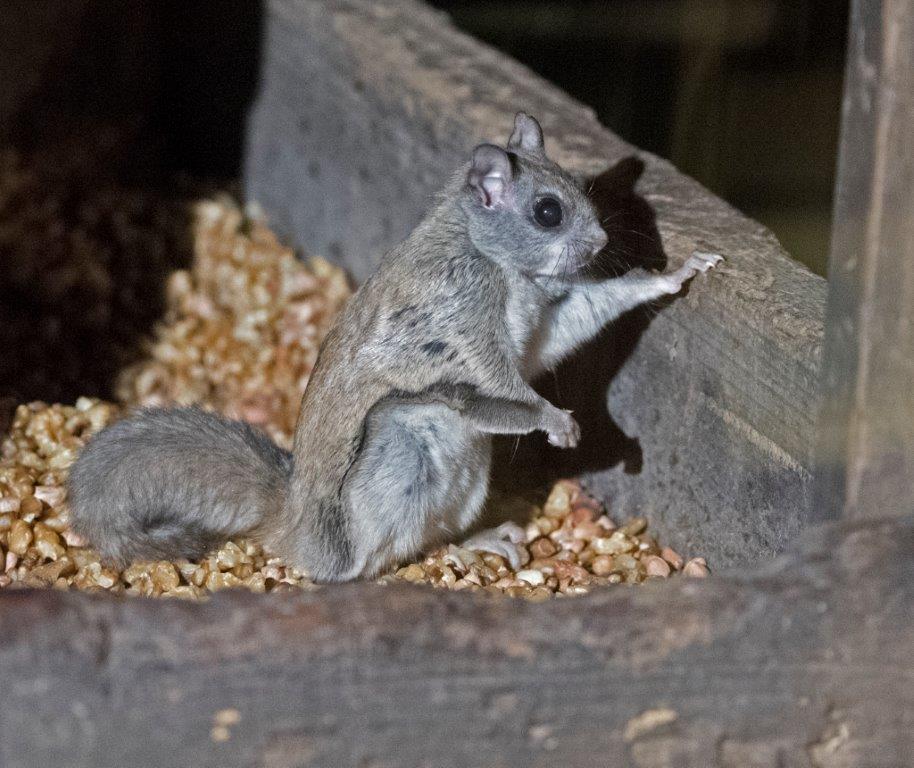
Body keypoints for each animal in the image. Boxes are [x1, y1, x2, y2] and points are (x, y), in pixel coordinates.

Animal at [68, 113, 722, 582]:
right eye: (547, 211)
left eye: (582, 186)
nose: (602, 242)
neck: (492, 257)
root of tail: (297, 532)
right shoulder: (461, 318)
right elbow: (502, 383)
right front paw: (555, 420)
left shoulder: (549, 316)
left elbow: (590, 311)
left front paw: (674, 275)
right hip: (399, 457)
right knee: (376, 560)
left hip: (464, 475)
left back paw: (481, 540)